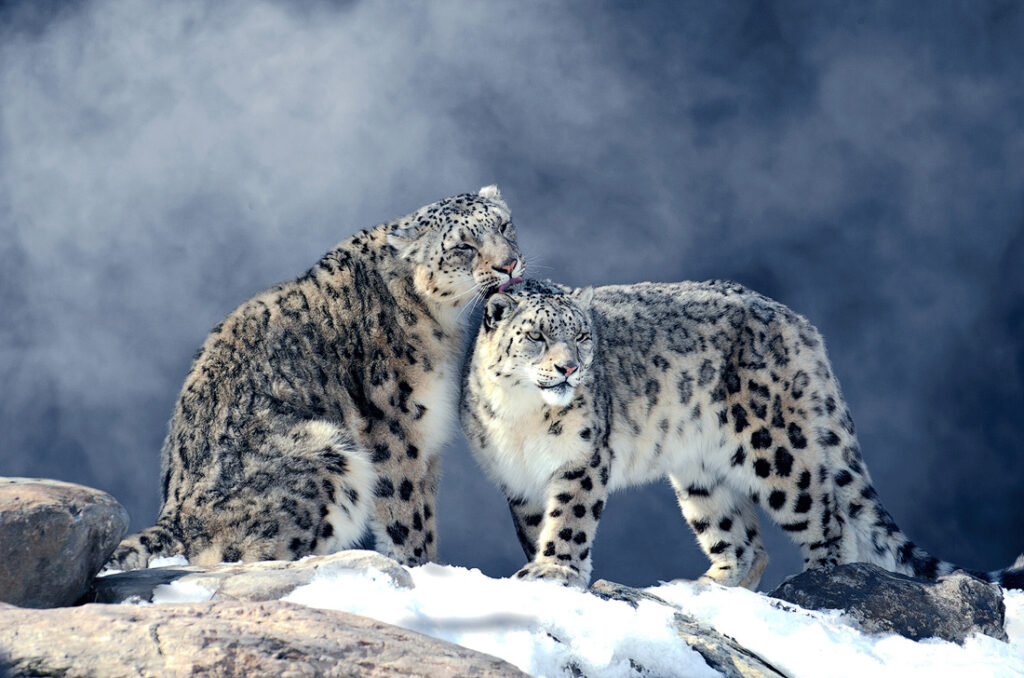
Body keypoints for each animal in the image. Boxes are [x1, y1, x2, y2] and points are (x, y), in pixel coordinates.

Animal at [107, 185, 525, 570]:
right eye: (463, 246)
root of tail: (174, 515)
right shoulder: (398, 433)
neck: (443, 321)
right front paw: (424, 569)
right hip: (326, 454)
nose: (509, 265)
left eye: (504, 225)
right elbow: (409, 516)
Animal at [461, 278, 1024, 590]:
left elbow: (570, 520)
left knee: (827, 515)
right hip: (700, 474)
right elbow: (537, 526)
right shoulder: (517, 483)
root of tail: (795, 320)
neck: (524, 418)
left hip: (777, 450)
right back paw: (703, 587)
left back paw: (817, 581)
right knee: (743, 539)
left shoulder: (581, 460)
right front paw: (543, 566)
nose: (569, 368)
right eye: (536, 336)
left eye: (581, 335)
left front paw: (554, 570)